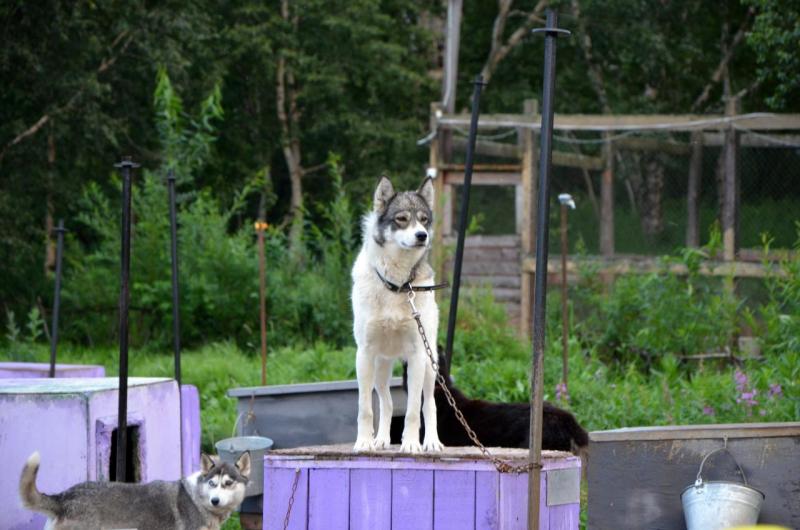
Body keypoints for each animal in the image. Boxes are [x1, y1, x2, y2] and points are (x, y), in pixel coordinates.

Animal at [354, 175, 446, 452]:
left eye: (424, 219)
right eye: (402, 219)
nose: (422, 235)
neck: (397, 285)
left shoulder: (417, 357)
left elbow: (414, 410)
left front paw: (412, 445)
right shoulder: (364, 355)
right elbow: (365, 408)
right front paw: (364, 442)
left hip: (429, 366)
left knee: (430, 405)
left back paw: (431, 442)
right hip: (380, 369)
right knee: (387, 403)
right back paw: (382, 439)